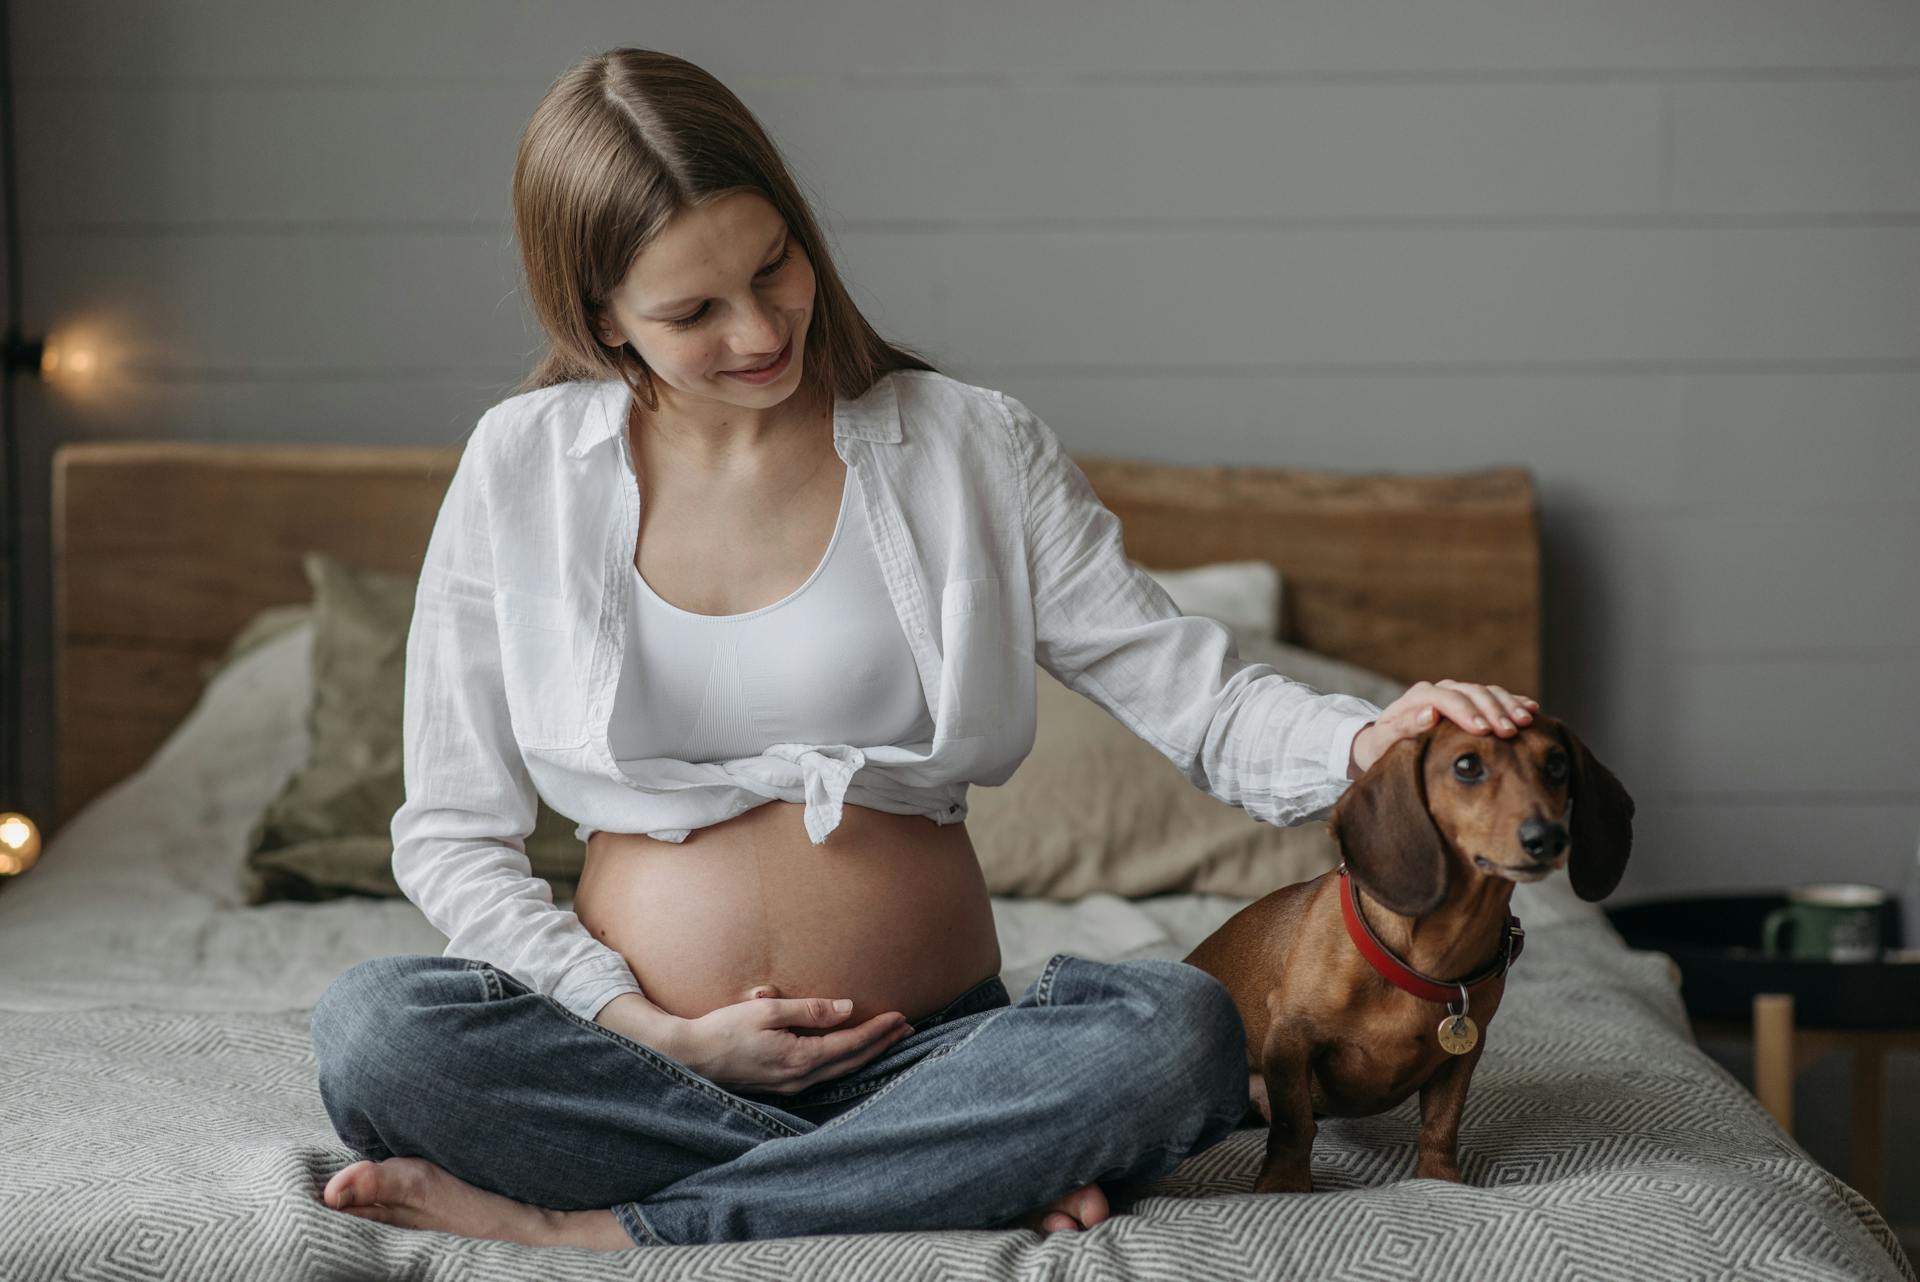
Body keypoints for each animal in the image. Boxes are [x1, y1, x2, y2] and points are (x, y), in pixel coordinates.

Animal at [1182, 710, 1635, 1189]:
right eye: (1467, 765)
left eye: (1556, 766)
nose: (1547, 838)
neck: (1430, 957)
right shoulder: (1289, 1040)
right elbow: (1294, 1126)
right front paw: (1284, 1185)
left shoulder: (1463, 1055)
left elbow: (1441, 1124)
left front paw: (1440, 1181)